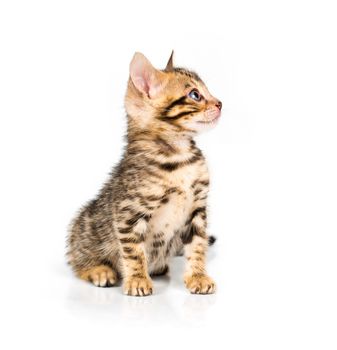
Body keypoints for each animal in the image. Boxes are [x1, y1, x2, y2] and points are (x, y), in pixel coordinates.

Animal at [67, 52, 222, 296]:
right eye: (195, 95)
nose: (220, 103)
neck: (179, 157)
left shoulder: (197, 209)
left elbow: (198, 244)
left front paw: (198, 276)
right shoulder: (129, 212)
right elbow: (133, 250)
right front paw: (138, 279)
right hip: (84, 228)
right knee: (78, 258)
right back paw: (99, 270)